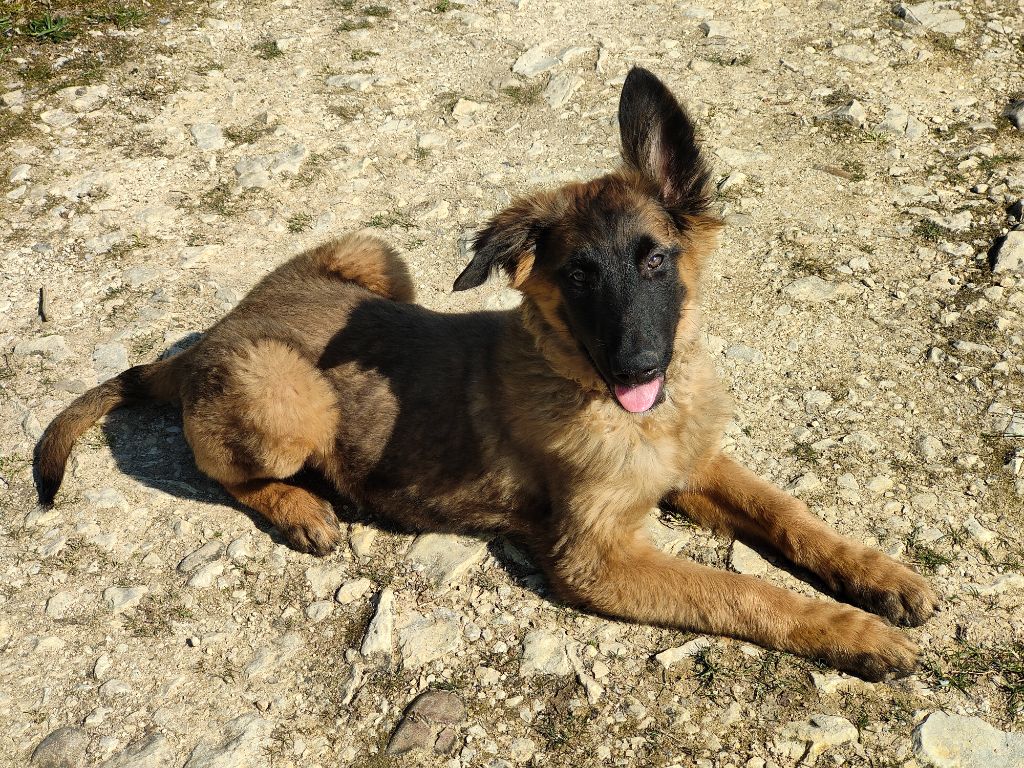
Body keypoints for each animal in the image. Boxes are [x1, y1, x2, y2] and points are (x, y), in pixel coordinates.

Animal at [34, 67, 936, 681]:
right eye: (579, 277)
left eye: (655, 261)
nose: (639, 366)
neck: (618, 406)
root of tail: (211, 336)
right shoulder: (594, 558)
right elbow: (741, 592)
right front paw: (850, 634)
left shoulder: (694, 465)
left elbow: (787, 512)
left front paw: (878, 577)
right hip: (287, 393)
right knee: (219, 464)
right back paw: (301, 509)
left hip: (377, 258)